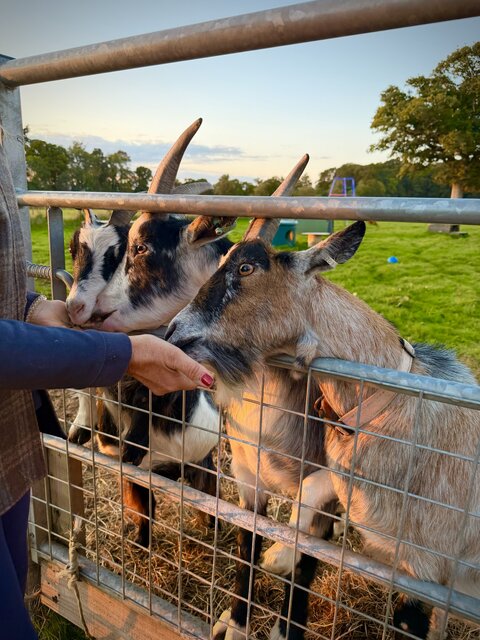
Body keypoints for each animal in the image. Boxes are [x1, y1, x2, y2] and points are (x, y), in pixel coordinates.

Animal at [166, 219, 480, 639]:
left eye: (246, 268)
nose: (172, 333)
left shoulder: (423, 568)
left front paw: (282, 559)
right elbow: (248, 540)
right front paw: (236, 622)